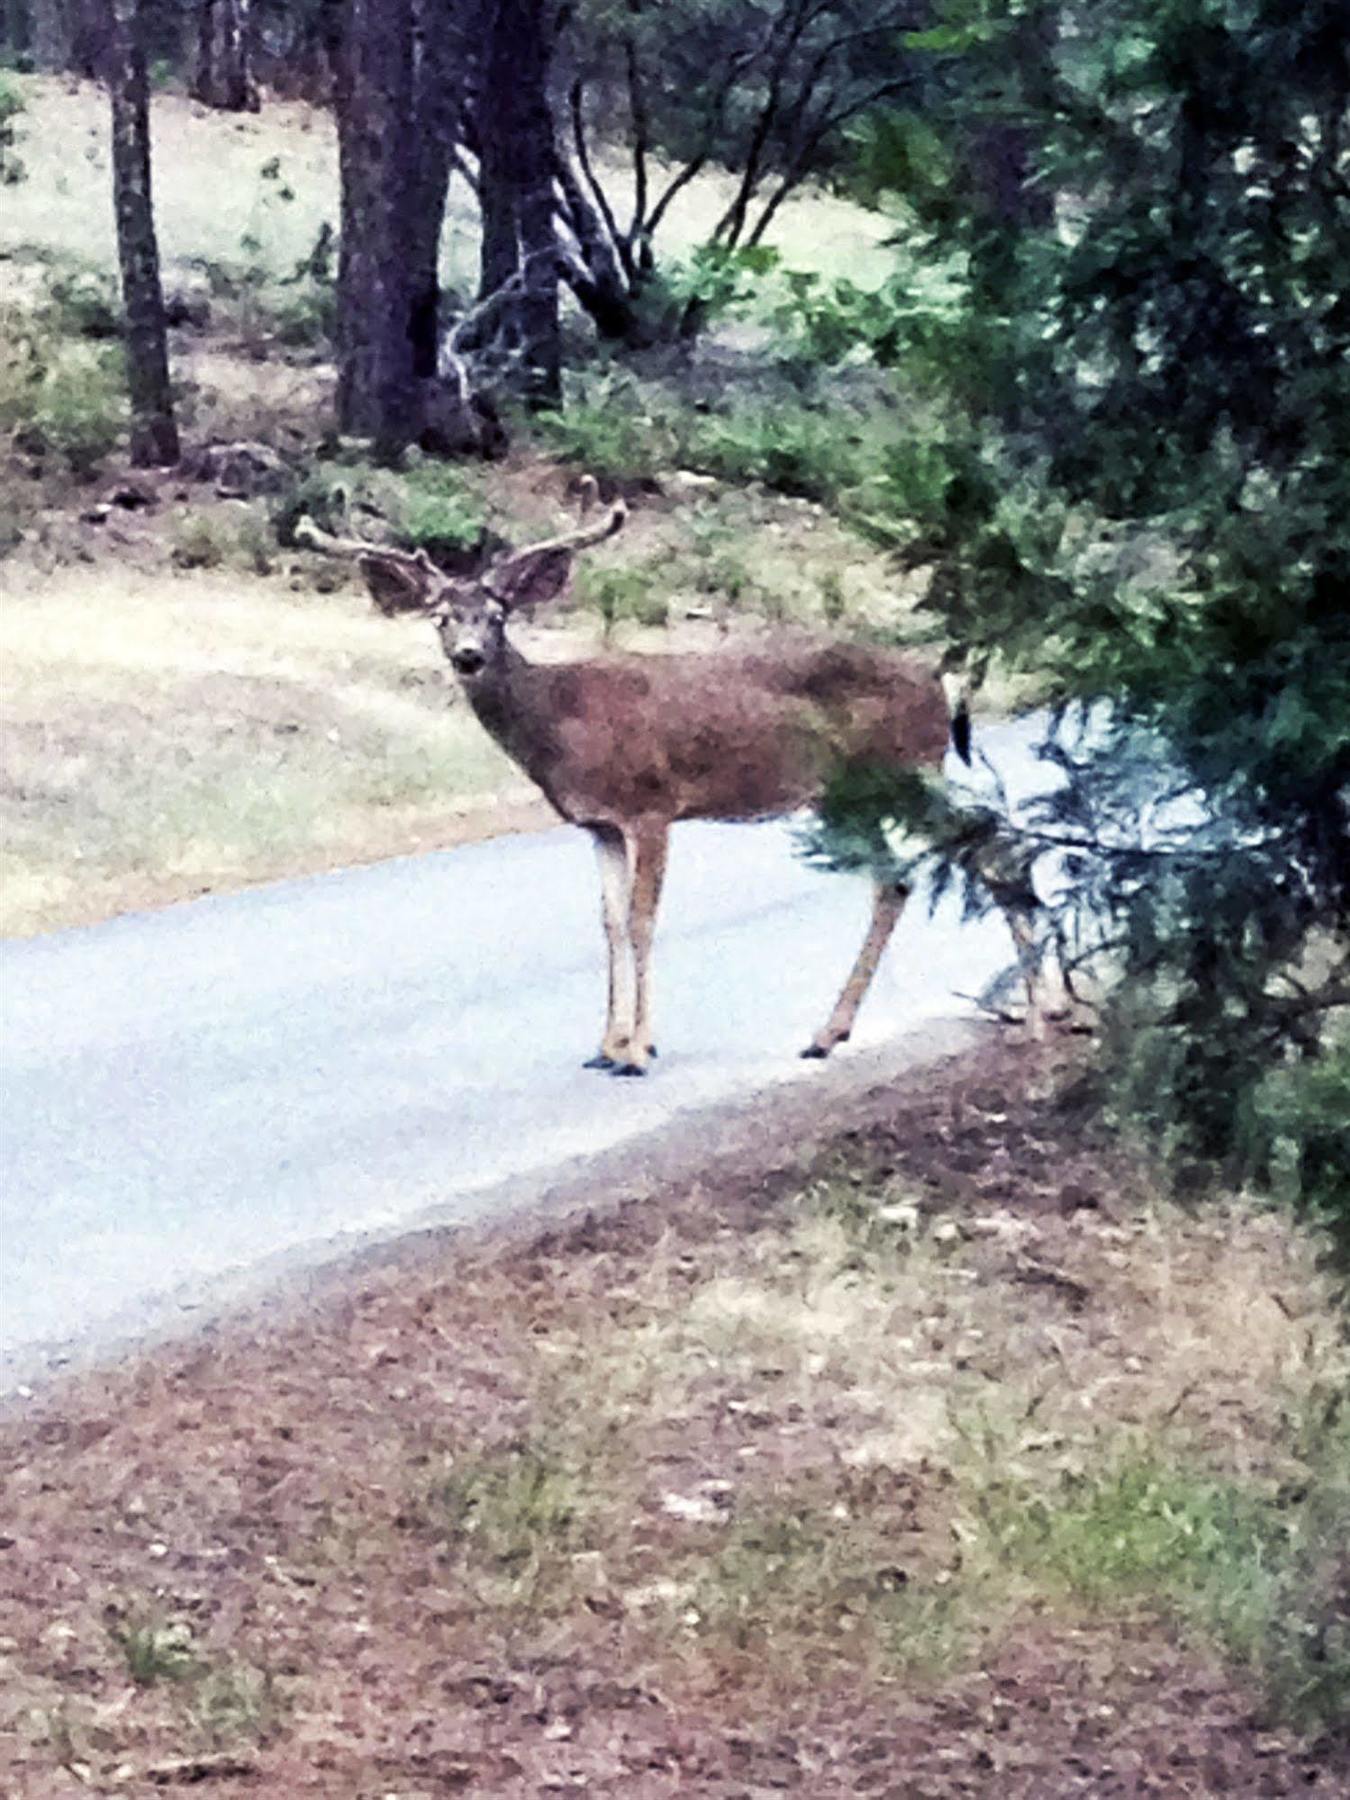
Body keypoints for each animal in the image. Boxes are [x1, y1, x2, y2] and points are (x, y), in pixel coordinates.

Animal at [293, 493, 1058, 1072]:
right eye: (441, 617)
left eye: (498, 614)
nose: (470, 656)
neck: (560, 723)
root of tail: (940, 681)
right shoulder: (598, 822)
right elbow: (606, 922)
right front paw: (604, 1046)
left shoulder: (652, 803)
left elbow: (640, 920)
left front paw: (637, 1051)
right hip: (858, 793)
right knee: (904, 875)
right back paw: (837, 1031)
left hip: (902, 766)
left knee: (987, 844)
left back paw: (1040, 1011)